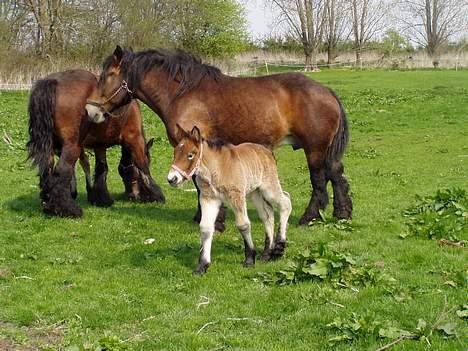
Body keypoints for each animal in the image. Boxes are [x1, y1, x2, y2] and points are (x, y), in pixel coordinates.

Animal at [27, 69, 166, 217]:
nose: (133, 195)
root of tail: (53, 81)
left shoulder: (100, 146)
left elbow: (101, 168)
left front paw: (101, 198)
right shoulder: (135, 139)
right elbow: (143, 166)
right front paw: (156, 194)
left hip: (52, 147)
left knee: (47, 168)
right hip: (72, 146)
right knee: (62, 169)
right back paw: (67, 209)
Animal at [87, 46, 352, 226]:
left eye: (107, 75)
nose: (90, 110)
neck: (182, 93)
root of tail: (326, 91)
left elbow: (198, 183)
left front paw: (208, 218)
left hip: (315, 149)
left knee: (319, 181)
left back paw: (309, 217)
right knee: (336, 175)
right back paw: (342, 213)